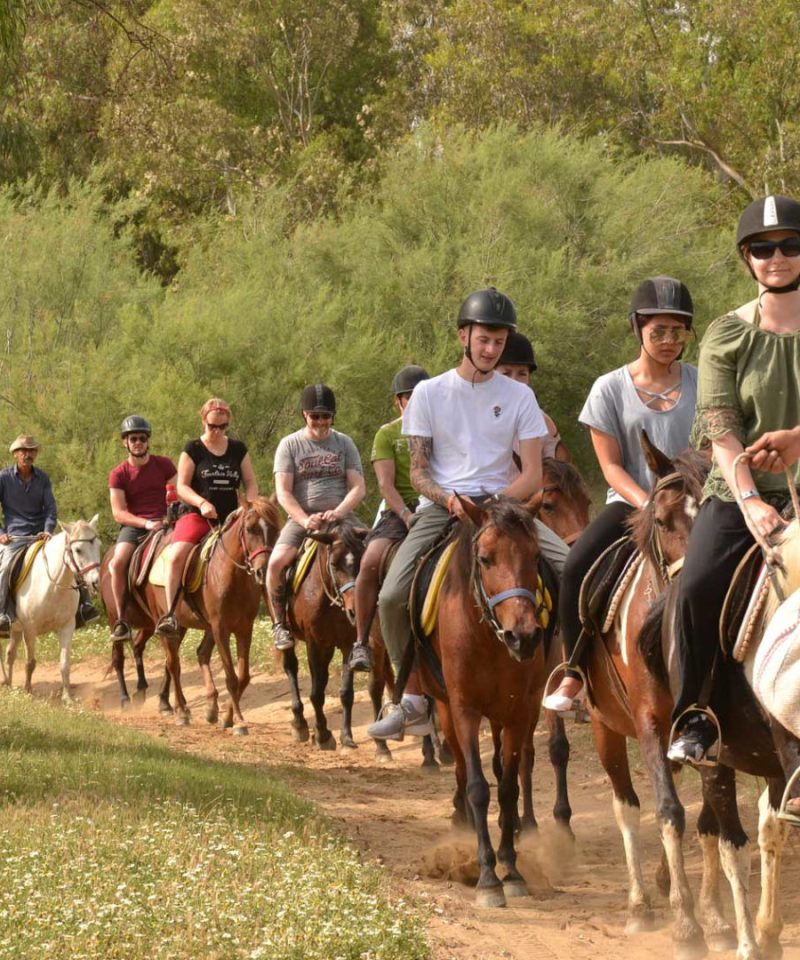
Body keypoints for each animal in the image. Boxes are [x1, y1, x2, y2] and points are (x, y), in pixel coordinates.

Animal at [2, 512, 101, 700]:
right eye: (78, 550)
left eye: (99, 545)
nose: (95, 582)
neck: (53, 585)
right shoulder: (30, 629)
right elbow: (30, 663)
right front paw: (28, 692)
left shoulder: (67, 626)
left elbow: (64, 664)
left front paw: (67, 697)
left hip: (15, 629)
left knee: (10, 654)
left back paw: (8, 685)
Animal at [101, 498, 280, 732]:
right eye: (250, 529)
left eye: (276, 529)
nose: (263, 570)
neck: (230, 574)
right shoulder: (220, 628)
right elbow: (231, 677)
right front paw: (239, 722)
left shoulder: (244, 629)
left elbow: (243, 677)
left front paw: (228, 717)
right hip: (130, 620)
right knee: (159, 663)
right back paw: (166, 708)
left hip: (177, 625)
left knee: (183, 654)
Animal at [282, 516, 368, 752]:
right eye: (334, 564)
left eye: (362, 560)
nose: (355, 611)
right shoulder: (315, 644)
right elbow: (316, 693)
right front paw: (322, 734)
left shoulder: (347, 644)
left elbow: (346, 693)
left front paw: (347, 738)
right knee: (291, 668)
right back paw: (300, 724)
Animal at [418, 496, 552, 908]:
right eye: (485, 558)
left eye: (535, 555)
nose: (523, 636)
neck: (489, 639)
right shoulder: (464, 709)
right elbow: (478, 787)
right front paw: (488, 877)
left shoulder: (519, 711)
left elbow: (507, 788)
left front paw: (512, 869)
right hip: (446, 708)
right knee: (463, 769)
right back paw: (460, 820)